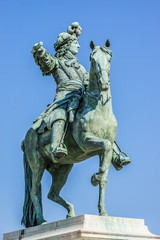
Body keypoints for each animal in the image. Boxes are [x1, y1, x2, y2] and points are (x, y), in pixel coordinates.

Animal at [21, 39, 117, 227]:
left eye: (109, 58)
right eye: (93, 59)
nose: (104, 84)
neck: (99, 110)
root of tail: (27, 136)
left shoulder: (102, 151)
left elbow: (105, 176)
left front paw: (103, 211)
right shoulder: (86, 142)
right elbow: (106, 144)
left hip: (64, 167)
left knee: (52, 193)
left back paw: (71, 212)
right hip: (37, 165)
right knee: (35, 191)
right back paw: (42, 221)